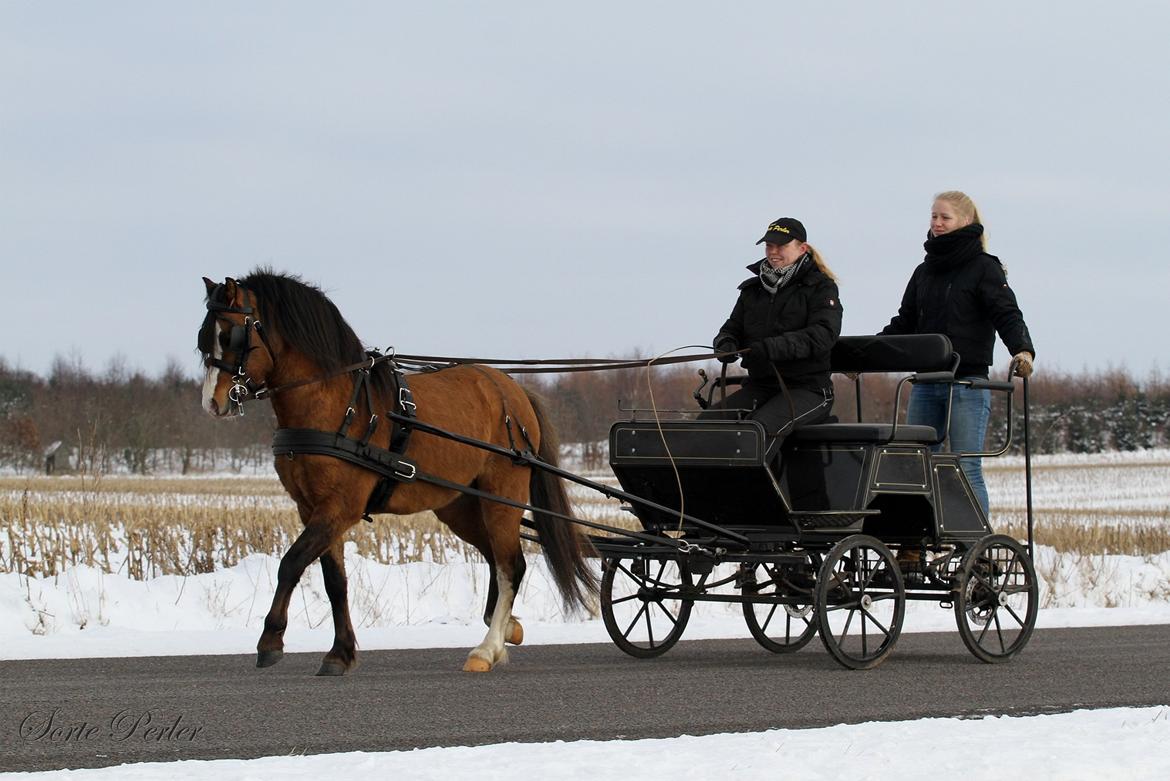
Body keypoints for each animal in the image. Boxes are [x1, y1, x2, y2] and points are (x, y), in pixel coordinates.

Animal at [198, 270, 597, 675]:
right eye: (203, 338)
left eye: (230, 335)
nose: (212, 403)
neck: (335, 405)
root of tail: (511, 390)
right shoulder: (312, 508)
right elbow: (334, 581)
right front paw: (340, 652)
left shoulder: (340, 507)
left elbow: (291, 562)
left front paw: (271, 640)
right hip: (461, 505)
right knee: (498, 559)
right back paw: (504, 631)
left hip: (503, 497)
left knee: (509, 565)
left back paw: (486, 649)